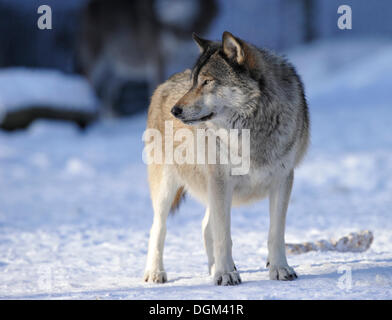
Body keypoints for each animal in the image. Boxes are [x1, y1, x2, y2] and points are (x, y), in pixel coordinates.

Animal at [143, 30, 310, 284]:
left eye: (206, 81)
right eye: (194, 82)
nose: (175, 111)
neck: (252, 131)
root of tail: (163, 84)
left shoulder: (283, 180)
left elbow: (276, 232)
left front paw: (280, 269)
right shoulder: (221, 181)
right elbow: (223, 235)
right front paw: (225, 275)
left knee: (205, 227)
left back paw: (214, 268)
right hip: (168, 187)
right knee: (158, 227)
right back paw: (156, 272)